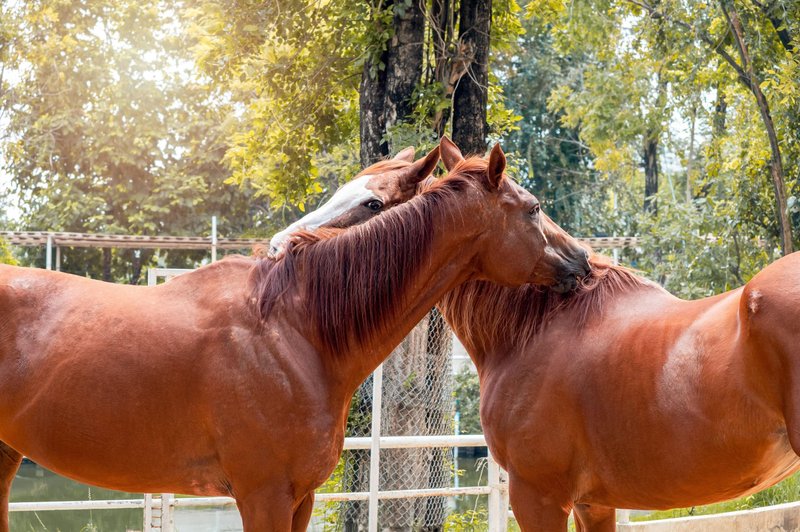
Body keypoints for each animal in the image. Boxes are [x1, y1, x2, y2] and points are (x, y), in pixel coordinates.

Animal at [0, 143, 588, 528]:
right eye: (533, 209)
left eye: (371, 199)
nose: (579, 259)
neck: (295, 330)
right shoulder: (264, 497)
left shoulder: (299, 498)